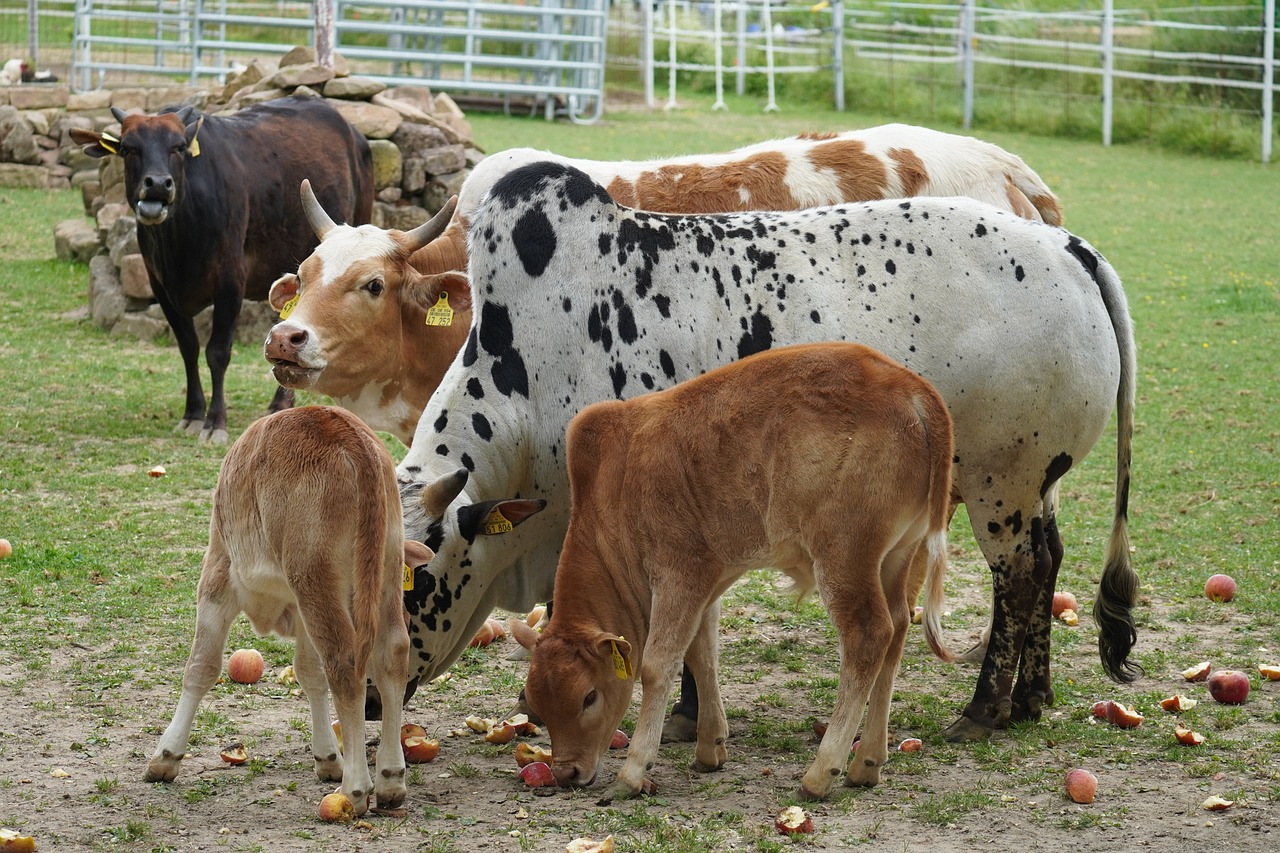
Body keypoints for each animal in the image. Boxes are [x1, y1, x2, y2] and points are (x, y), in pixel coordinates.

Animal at [70, 97, 373, 445]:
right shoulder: (161, 288)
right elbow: (188, 348)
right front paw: (192, 413)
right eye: (128, 148)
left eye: (178, 147)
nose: (158, 184)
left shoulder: (230, 284)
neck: (179, 243)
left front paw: (215, 421)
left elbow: (217, 352)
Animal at [145, 402, 417, 814]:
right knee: (391, 656)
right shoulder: (301, 609)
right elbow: (309, 673)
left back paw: (356, 787)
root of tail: (347, 433)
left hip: (315, 578)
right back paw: (389, 778)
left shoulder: (218, 574)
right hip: (380, 573)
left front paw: (167, 755)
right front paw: (327, 757)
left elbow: (200, 668)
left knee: (344, 663)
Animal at [394, 161, 1136, 742]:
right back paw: (1031, 697)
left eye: (417, 584)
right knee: (1050, 558)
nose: (376, 696)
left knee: (1020, 574)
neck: (529, 370)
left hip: (999, 481)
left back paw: (984, 709)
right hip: (1034, 485)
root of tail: (1069, 247)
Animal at [514, 343, 957, 799]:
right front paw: (710, 747)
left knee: (869, 636)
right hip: (895, 556)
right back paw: (866, 762)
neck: (614, 485)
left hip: (844, 558)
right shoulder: (709, 581)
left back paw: (820, 772)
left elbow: (658, 664)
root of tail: (910, 388)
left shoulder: (678, 573)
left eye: (589, 697)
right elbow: (702, 654)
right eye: (537, 703)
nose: (566, 772)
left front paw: (632, 772)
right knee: (898, 628)